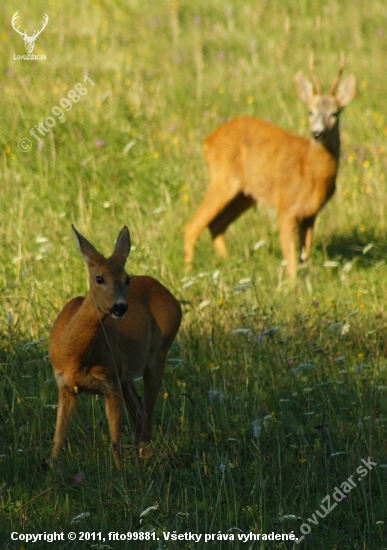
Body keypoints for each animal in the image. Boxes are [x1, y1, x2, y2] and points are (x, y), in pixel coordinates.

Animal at [49, 227, 182, 470]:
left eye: (126, 279)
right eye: (99, 278)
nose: (120, 307)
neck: (74, 356)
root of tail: (165, 291)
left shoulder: (110, 383)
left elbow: (115, 441)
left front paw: (120, 473)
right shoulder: (65, 384)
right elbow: (58, 438)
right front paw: (51, 470)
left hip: (158, 354)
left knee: (148, 413)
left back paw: (145, 462)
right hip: (126, 376)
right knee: (140, 410)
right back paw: (141, 460)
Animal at [185, 55, 358, 280]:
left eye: (335, 113)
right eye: (310, 111)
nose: (317, 133)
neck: (311, 170)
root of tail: (208, 140)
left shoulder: (311, 214)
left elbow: (305, 254)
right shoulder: (286, 206)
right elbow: (291, 257)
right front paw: (293, 285)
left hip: (245, 194)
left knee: (216, 225)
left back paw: (230, 264)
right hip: (223, 179)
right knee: (192, 227)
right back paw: (189, 272)